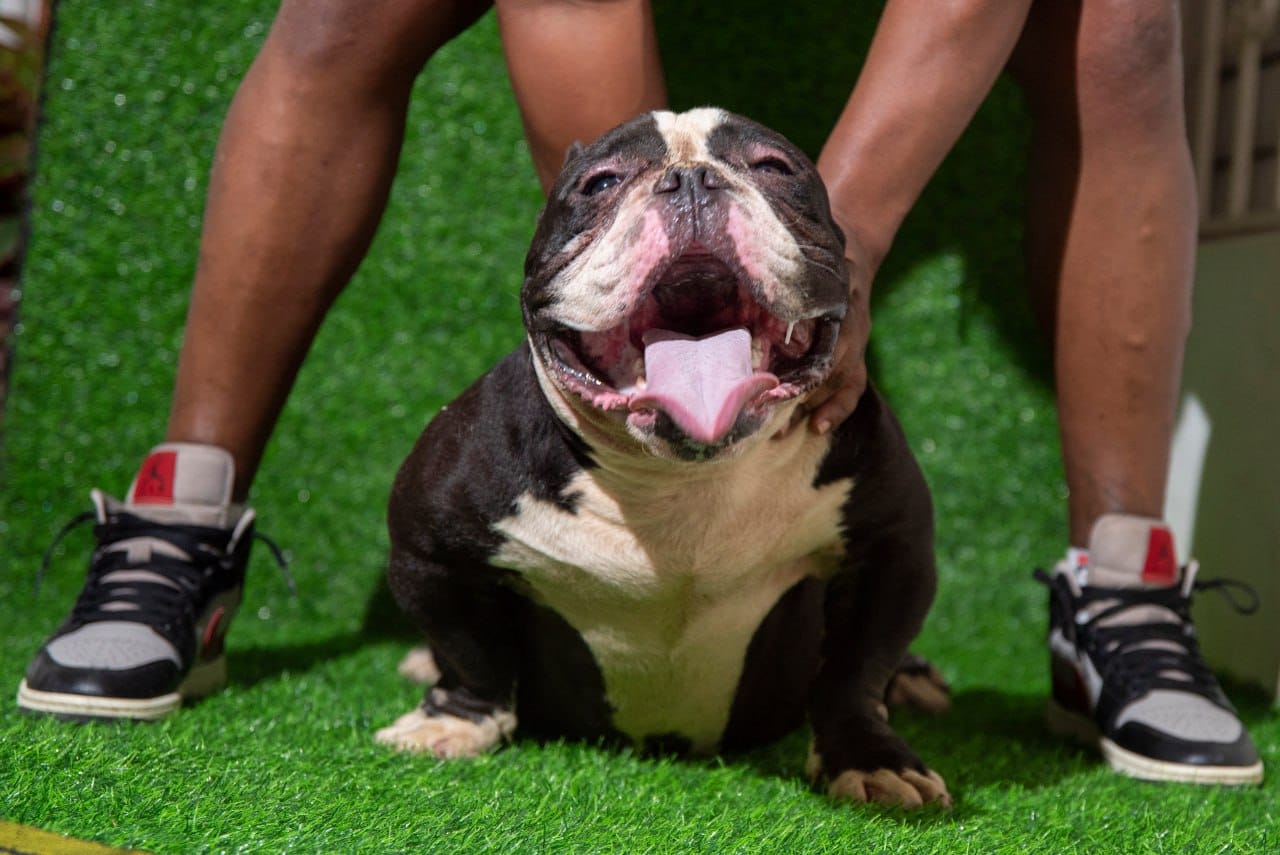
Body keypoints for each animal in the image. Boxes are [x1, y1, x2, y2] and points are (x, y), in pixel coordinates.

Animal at [373, 108, 947, 808]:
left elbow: (855, 671)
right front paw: (454, 721)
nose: (692, 179)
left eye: (774, 168)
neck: (683, 478)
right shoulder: (429, 549)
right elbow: (469, 651)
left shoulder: (892, 549)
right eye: (599, 183)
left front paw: (871, 759)